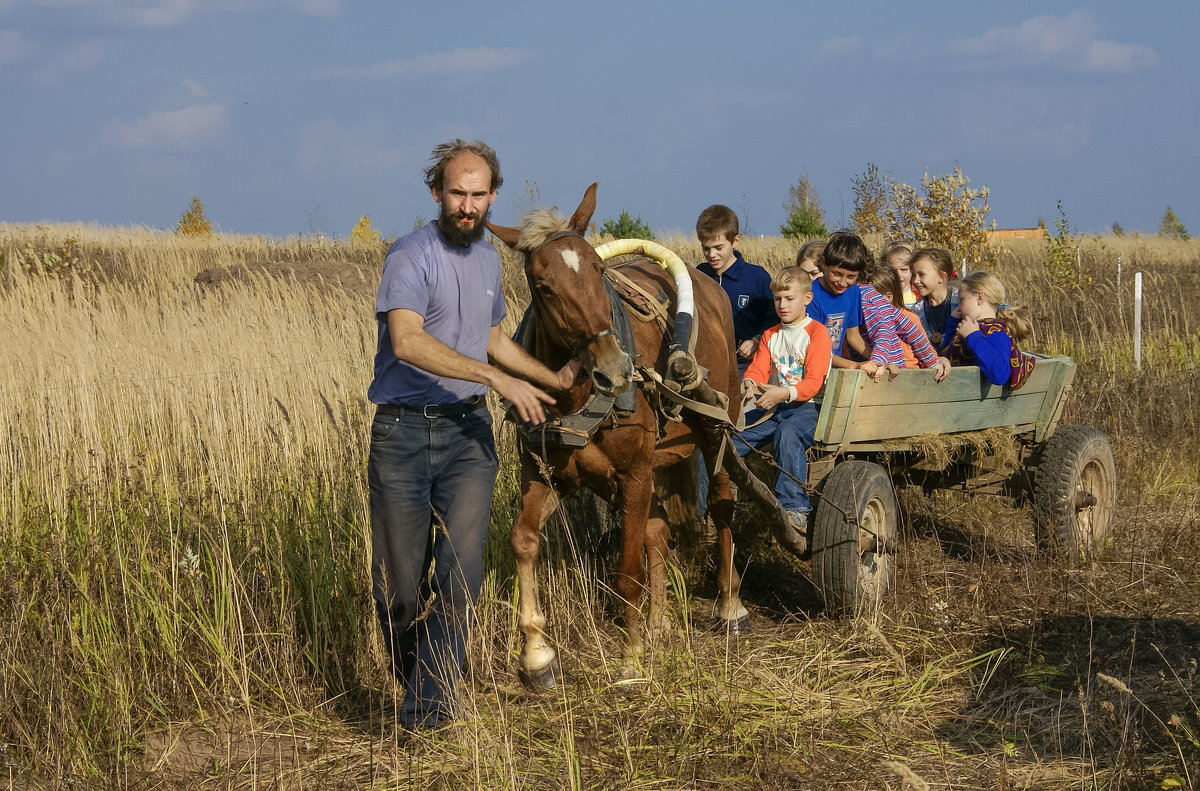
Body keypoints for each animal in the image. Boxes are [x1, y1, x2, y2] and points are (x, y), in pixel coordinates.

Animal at [482, 183, 744, 686]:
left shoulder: (635, 475)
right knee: (658, 532)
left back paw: (730, 604)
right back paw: (660, 622)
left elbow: (627, 572)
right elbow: (523, 540)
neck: (576, 401)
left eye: (599, 270)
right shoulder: (545, 475)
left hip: (715, 431)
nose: (615, 370)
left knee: (722, 505)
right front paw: (537, 653)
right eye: (543, 287)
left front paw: (631, 655)